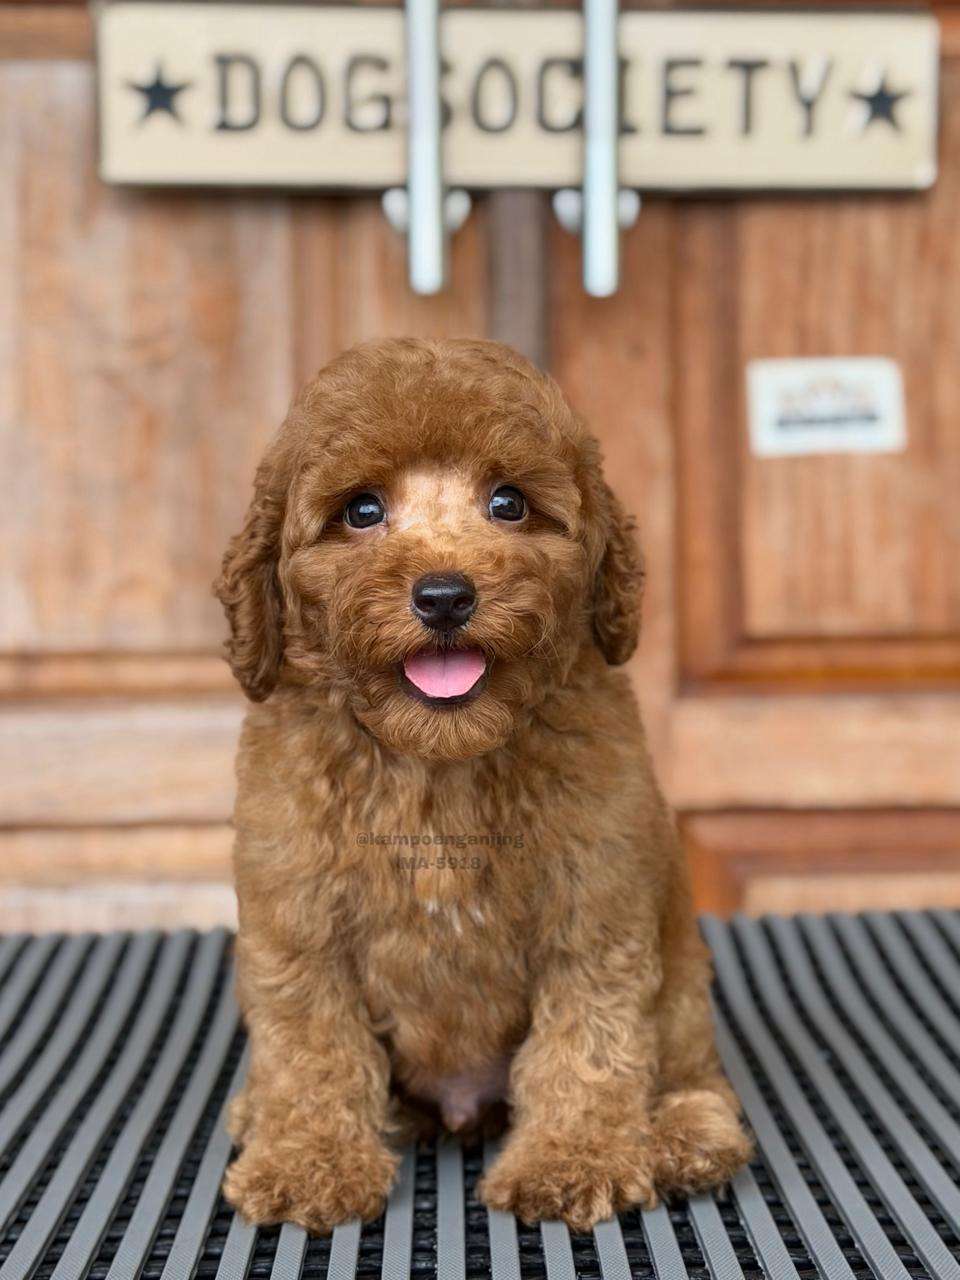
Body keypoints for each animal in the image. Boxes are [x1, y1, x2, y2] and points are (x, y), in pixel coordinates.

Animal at [215, 337, 751, 1235]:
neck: (438, 757)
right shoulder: (296, 922)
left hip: (680, 972)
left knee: (685, 1059)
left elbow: (588, 1041)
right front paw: (307, 1161)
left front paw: (573, 1160)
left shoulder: (594, 912)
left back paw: (686, 1135)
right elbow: (311, 1047)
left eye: (509, 503)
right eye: (361, 510)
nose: (443, 596)